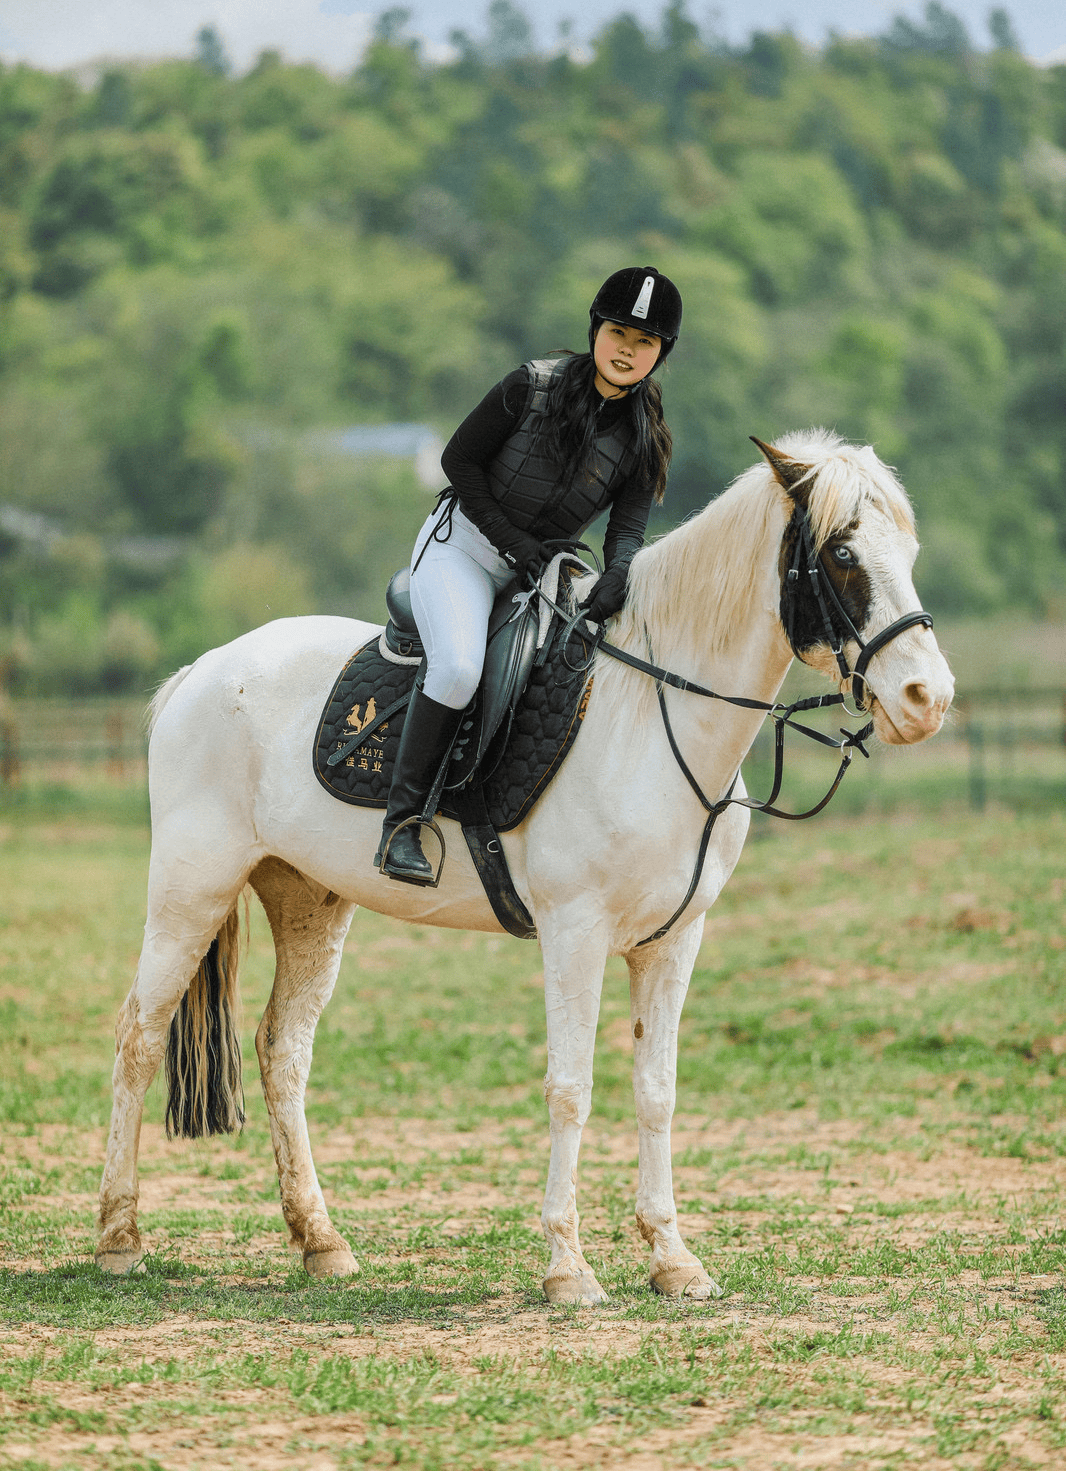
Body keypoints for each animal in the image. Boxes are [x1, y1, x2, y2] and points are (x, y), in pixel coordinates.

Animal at [96, 431, 954, 1304]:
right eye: (842, 553)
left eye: (909, 551)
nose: (929, 697)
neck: (651, 717)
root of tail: (200, 672)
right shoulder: (574, 932)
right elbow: (570, 1090)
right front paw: (568, 1266)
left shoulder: (672, 940)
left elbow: (657, 1090)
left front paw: (673, 1257)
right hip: (191, 890)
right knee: (139, 1036)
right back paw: (120, 1236)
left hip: (309, 900)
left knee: (282, 1050)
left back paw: (320, 1240)